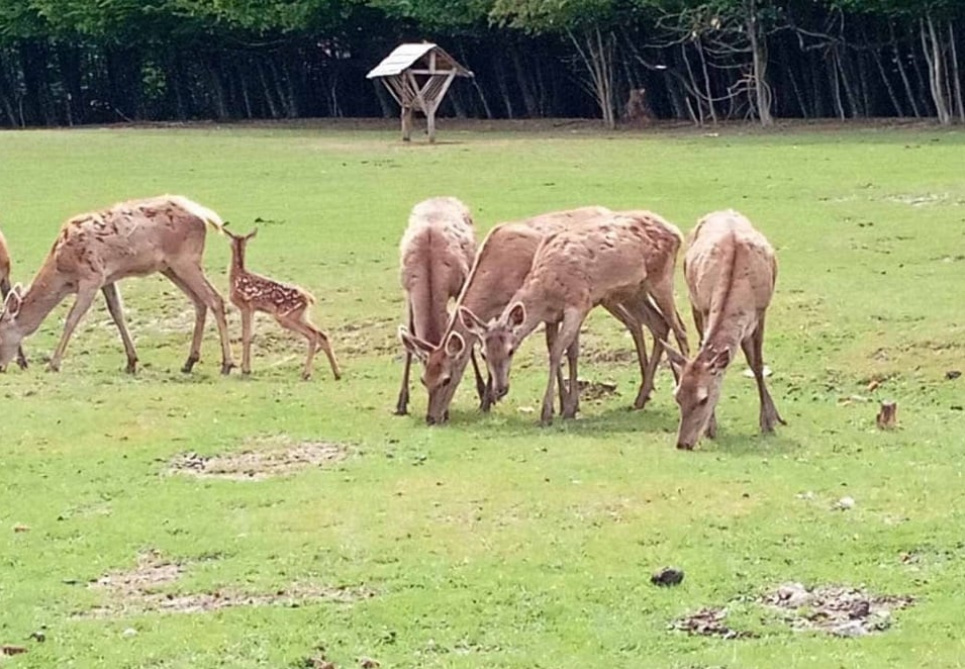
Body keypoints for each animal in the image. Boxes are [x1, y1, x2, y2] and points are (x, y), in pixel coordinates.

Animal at [0, 194, 235, 376]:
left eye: (0, 335)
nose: (1, 367)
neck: (62, 271)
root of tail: (204, 215)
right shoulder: (107, 278)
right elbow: (117, 313)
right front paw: (131, 362)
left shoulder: (92, 276)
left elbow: (72, 318)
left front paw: (53, 364)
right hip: (170, 267)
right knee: (199, 301)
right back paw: (189, 362)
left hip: (185, 260)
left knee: (215, 299)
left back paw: (226, 364)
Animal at [224, 226, 340, 378]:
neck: (237, 275)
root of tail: (309, 298)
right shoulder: (253, 309)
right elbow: (250, 335)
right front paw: (247, 368)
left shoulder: (245, 305)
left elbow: (246, 337)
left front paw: (245, 369)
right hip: (301, 315)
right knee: (322, 334)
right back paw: (337, 373)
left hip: (286, 317)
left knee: (313, 335)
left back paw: (306, 373)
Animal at [394, 196, 482, 420]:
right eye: (423, 380)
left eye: (446, 379)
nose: (432, 418)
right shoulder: (408, 290)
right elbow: (410, 340)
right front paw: (401, 403)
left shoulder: (461, 285)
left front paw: (483, 392)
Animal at [664, 209, 784, 448]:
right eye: (677, 396)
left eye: (703, 399)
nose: (683, 443)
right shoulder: (703, 306)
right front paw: (711, 428)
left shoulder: (761, 312)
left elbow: (757, 364)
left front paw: (768, 422)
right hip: (692, 299)